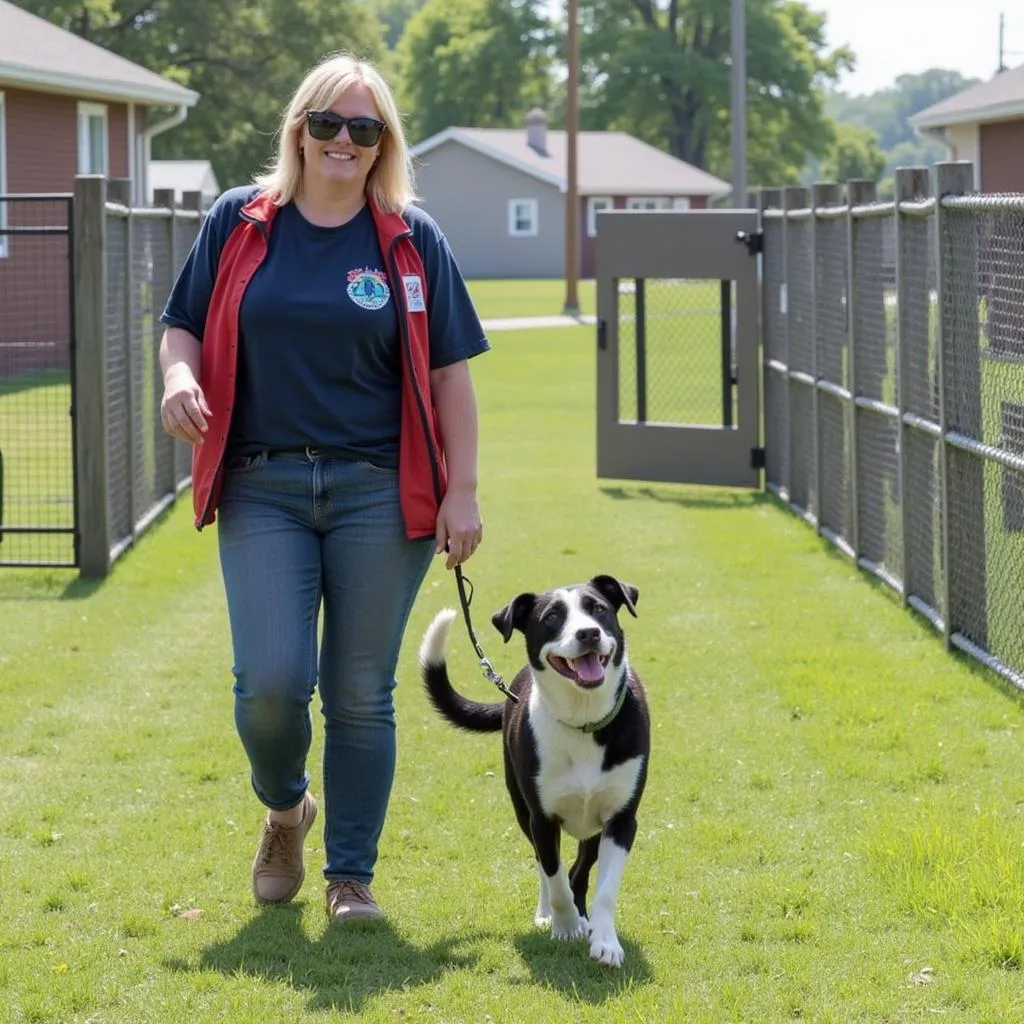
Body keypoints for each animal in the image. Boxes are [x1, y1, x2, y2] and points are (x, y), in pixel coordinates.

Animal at [419, 577, 651, 966]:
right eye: (552, 617)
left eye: (598, 608)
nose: (588, 633)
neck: (583, 718)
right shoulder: (541, 817)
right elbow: (553, 876)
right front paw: (565, 925)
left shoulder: (621, 819)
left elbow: (603, 887)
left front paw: (604, 941)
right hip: (520, 805)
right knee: (547, 866)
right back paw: (552, 914)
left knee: (580, 867)